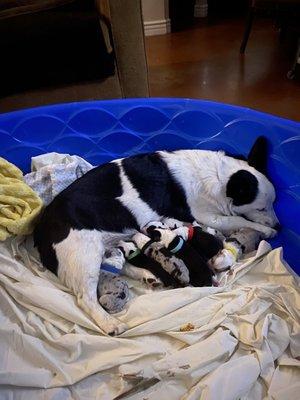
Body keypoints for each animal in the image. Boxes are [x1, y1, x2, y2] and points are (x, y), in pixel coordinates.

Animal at [34, 137, 280, 334]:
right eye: (261, 208)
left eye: (273, 203)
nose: (280, 224)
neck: (220, 178)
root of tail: (40, 231)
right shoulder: (210, 217)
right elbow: (240, 220)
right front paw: (267, 230)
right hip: (85, 256)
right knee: (86, 298)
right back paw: (110, 324)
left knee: (123, 266)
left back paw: (148, 275)